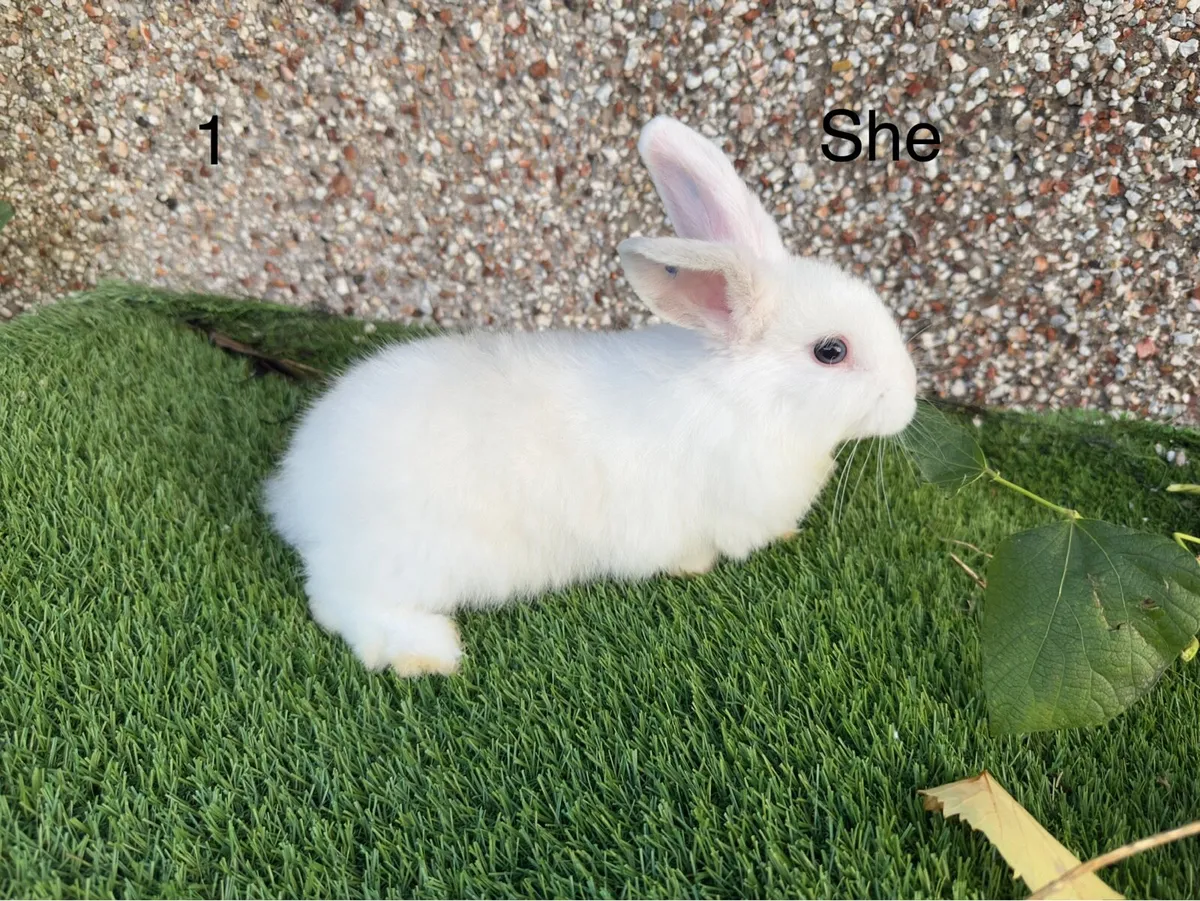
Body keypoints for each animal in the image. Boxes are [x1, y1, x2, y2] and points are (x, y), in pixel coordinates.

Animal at [264, 115, 919, 677]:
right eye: (830, 351)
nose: (909, 401)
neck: (748, 397)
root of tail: (298, 490)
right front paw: (697, 566)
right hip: (403, 560)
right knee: (337, 600)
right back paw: (426, 652)